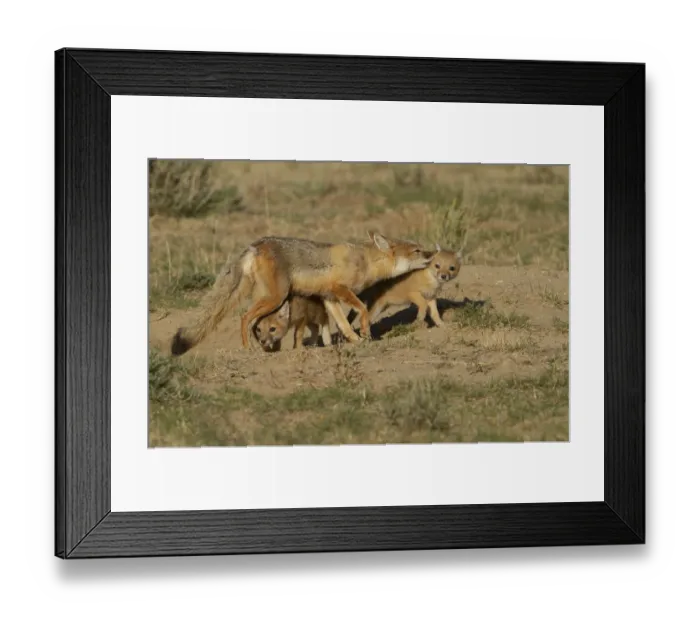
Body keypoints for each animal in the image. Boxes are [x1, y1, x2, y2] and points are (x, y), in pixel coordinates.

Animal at [170, 231, 436, 356]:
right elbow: (361, 308)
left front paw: (355, 340)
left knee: (254, 322)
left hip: (269, 299)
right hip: (275, 298)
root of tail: (255, 245)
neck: (366, 261)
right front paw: (365, 332)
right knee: (244, 318)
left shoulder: (329, 297)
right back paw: (249, 349)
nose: (433, 254)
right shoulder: (339, 289)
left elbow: (342, 324)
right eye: (417, 250)